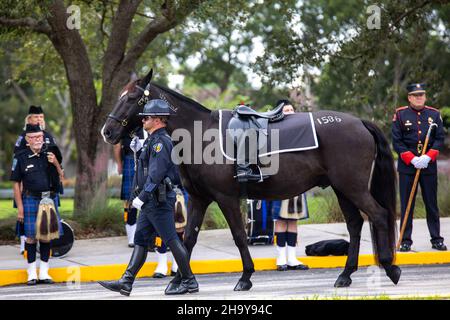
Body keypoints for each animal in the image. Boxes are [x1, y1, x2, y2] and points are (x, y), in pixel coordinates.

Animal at [102, 70, 400, 290]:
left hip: (353, 187)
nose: (107, 131)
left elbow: (238, 236)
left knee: (378, 215)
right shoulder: (198, 199)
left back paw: (389, 267)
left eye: (132, 97)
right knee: (355, 225)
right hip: (342, 189)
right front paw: (179, 281)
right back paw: (346, 274)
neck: (200, 135)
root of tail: (360, 122)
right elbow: (187, 239)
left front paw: (245, 277)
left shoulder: (226, 198)